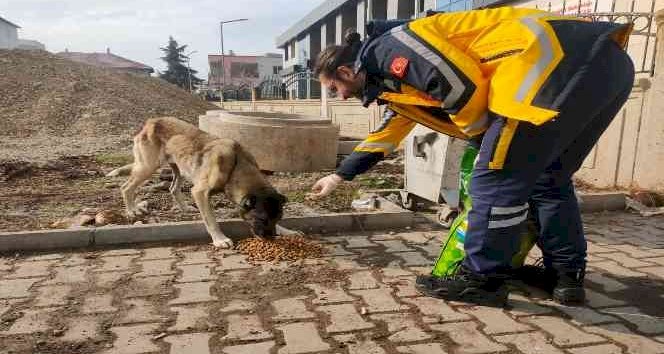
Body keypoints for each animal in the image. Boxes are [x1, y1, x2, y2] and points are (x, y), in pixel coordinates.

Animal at [113, 117, 298, 248]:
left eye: (277, 218)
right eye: (262, 219)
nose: (272, 238)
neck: (237, 165)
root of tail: (151, 122)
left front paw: (286, 230)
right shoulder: (200, 192)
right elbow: (211, 220)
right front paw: (219, 239)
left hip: (180, 168)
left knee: (173, 188)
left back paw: (185, 208)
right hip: (148, 167)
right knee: (126, 187)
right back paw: (132, 210)